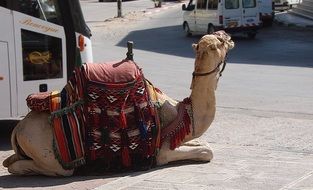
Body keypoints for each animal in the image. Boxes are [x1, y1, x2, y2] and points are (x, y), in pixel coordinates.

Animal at [1, 30, 232, 176]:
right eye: (219, 42)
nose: (228, 35)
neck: (183, 113)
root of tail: (19, 129)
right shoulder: (161, 151)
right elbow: (206, 152)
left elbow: (205, 144)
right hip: (50, 154)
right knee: (32, 167)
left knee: (9, 161)